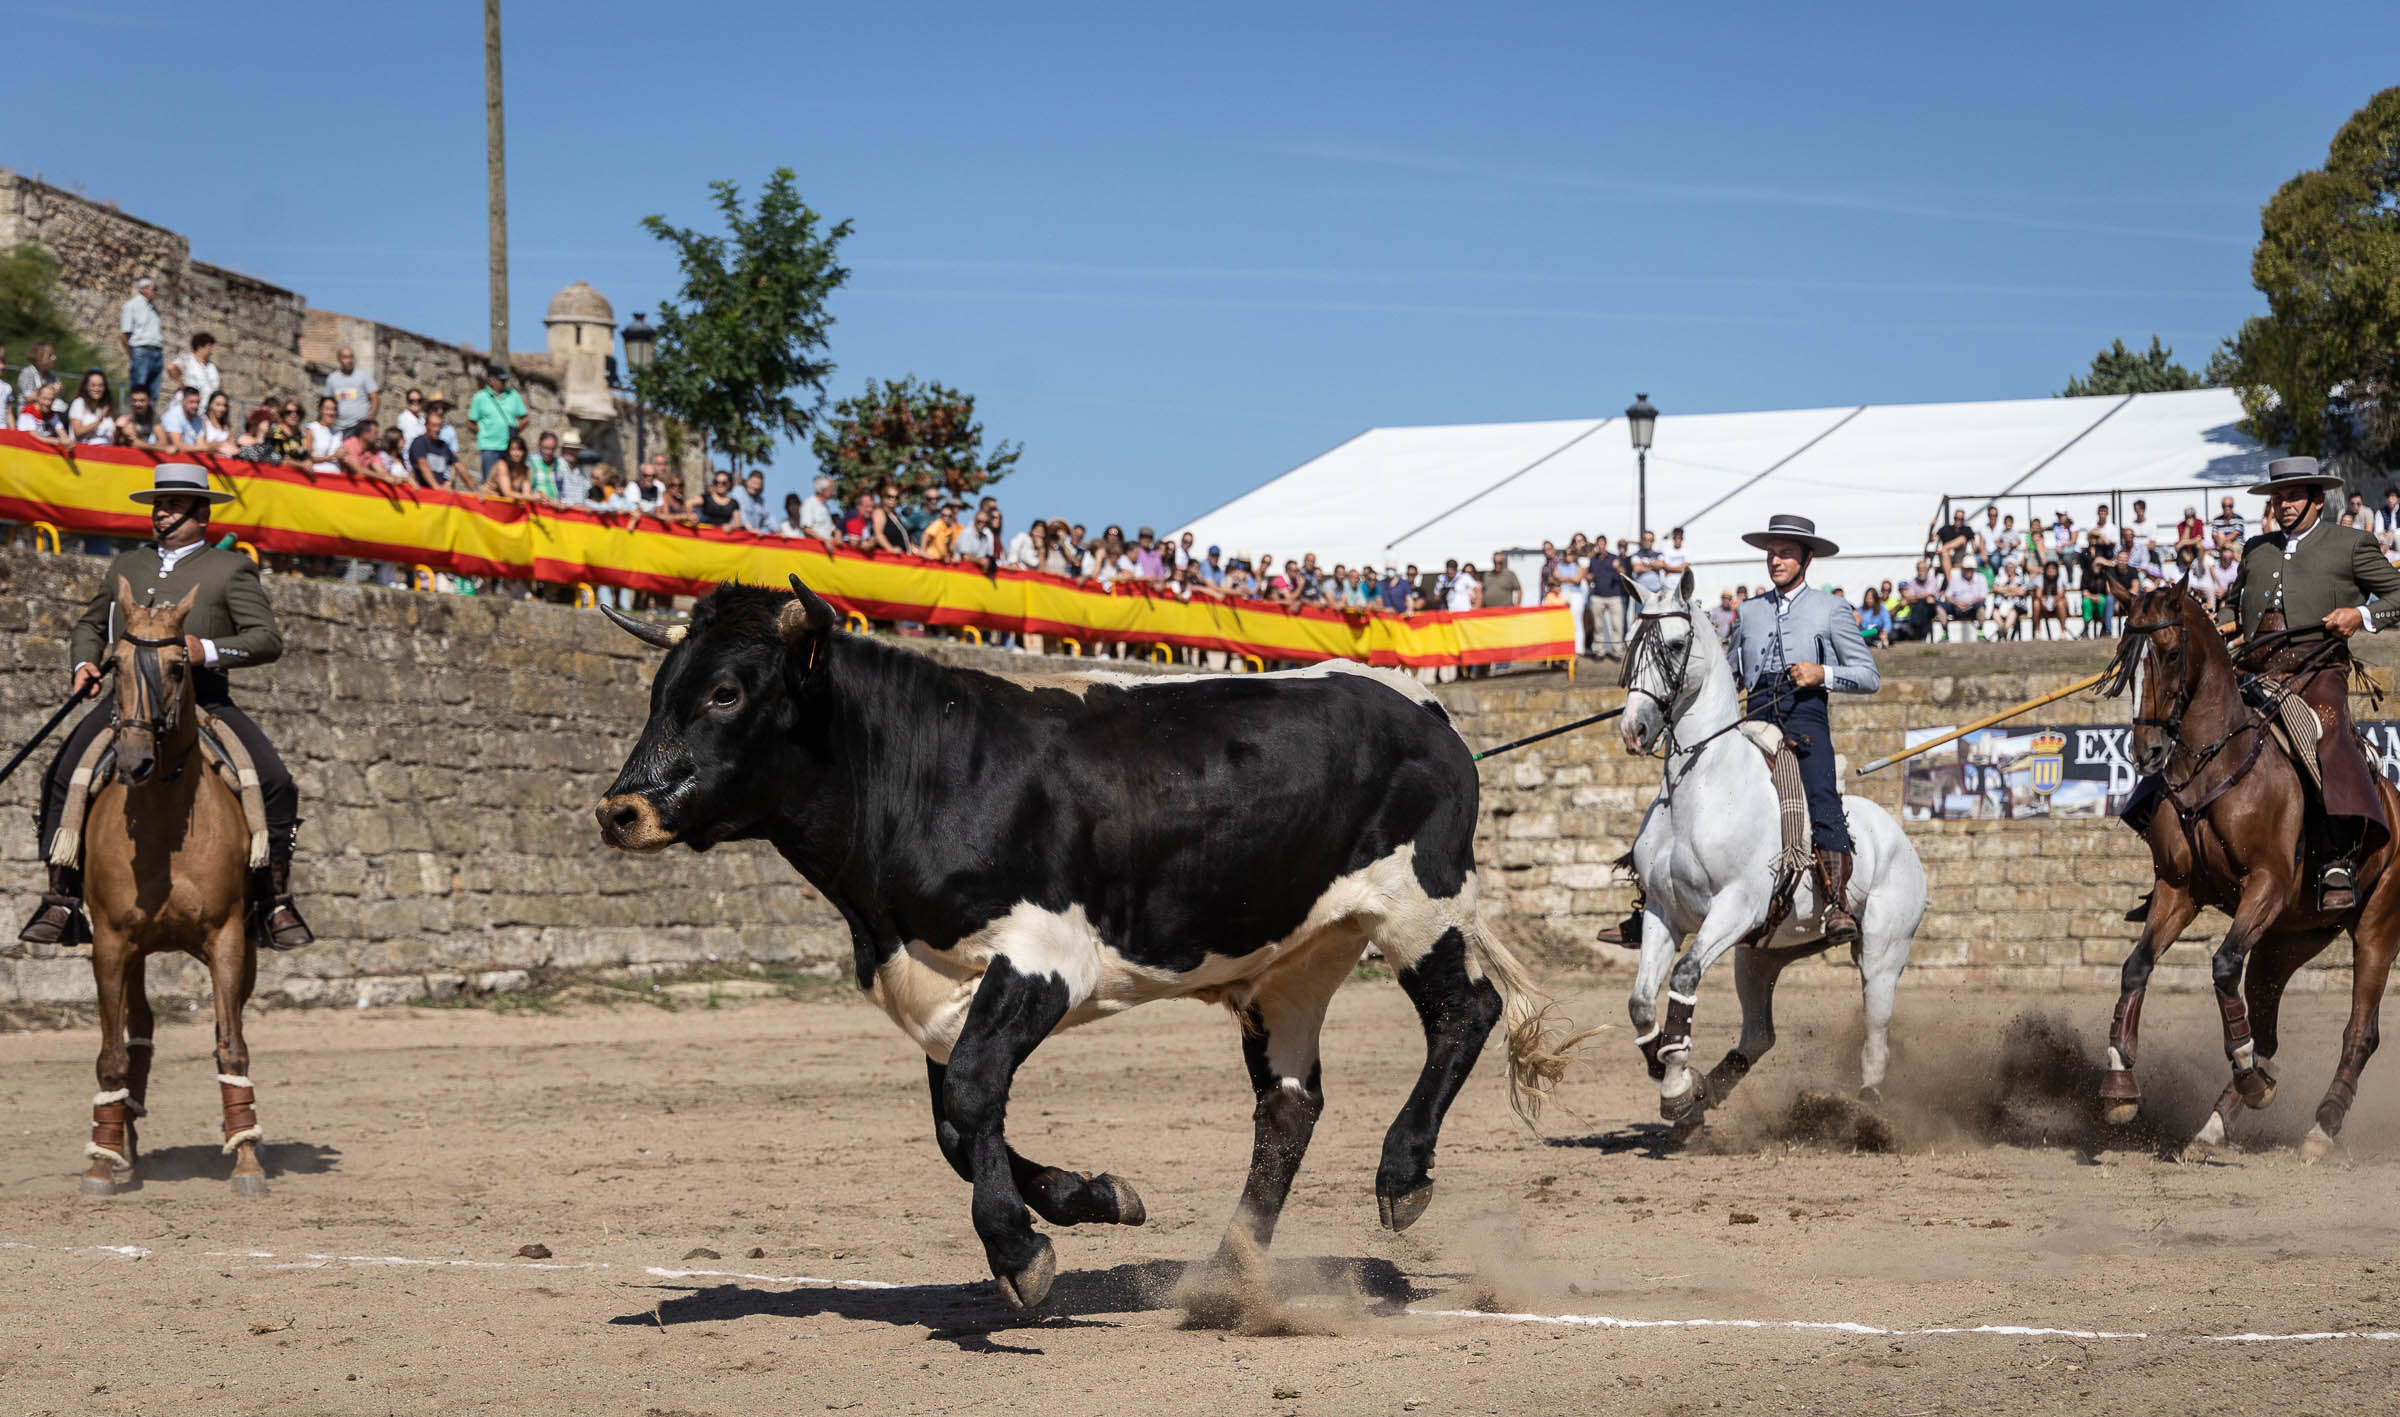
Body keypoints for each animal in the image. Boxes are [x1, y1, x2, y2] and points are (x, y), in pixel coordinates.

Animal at [75, 586, 270, 1200]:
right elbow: (112, 1056)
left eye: (180, 666)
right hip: (133, 954)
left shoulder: (228, 940)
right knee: (137, 1035)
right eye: (113, 665)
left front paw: (247, 1158)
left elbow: (232, 1045)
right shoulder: (111, 945)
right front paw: (101, 1164)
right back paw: (122, 1143)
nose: (135, 761)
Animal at [595, 583, 1574, 1316]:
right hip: (1292, 963)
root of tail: (1425, 706)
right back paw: (1229, 1273)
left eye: (727, 692)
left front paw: (1018, 1247)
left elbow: (972, 1093)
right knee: (1291, 1105)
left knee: (1466, 1011)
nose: (619, 809)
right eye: (657, 691)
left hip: (1418, 907)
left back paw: (1401, 1174)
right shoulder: (939, 986)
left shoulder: (1045, 955)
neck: (926, 769)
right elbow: (957, 1121)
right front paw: (1091, 1197)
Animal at [1612, 571, 1929, 1138]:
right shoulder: (1664, 912)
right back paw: (1705, 1098)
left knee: (1876, 1026)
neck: (1702, 787)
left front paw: (1675, 1084)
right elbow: (1642, 1001)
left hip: (1882, 950)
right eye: (1631, 643)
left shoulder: (1734, 907)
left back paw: (1868, 1107)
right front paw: (1667, 1068)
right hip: (1759, 954)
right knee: (1759, 1034)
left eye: (1675, 644)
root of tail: (1901, 837)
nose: (1633, 729)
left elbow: (1685, 976)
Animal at [2112, 583, 2390, 1162]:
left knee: (2360, 1032)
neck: (2213, 764)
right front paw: (2119, 1080)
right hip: (2286, 940)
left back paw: (2321, 1126)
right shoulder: (2179, 891)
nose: (2147, 751)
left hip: (2378, 926)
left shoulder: (2265, 885)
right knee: (2269, 1028)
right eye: (2127, 657)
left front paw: (2246, 1071)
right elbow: (2137, 966)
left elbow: (2221, 966)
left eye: (2171, 653)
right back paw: (2215, 1125)